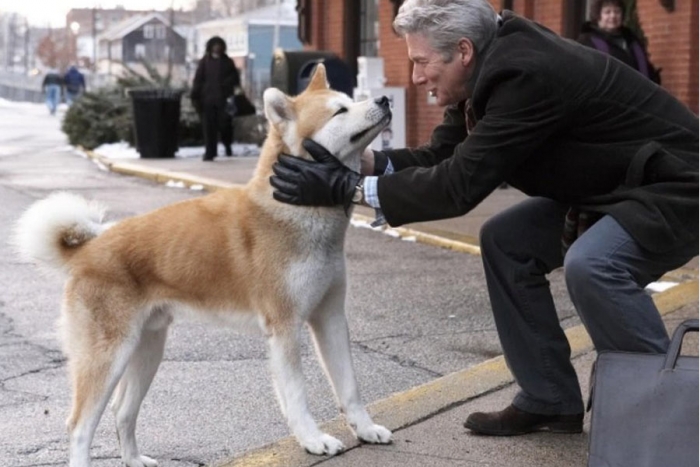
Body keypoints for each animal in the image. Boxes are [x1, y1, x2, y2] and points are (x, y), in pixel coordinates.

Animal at [13, 63, 394, 467]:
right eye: (340, 111)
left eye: (351, 100)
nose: (385, 99)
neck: (295, 210)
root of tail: (88, 250)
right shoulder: (286, 327)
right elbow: (297, 397)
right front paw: (313, 439)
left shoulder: (330, 317)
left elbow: (350, 387)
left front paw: (365, 429)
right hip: (108, 357)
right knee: (80, 426)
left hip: (147, 350)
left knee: (122, 412)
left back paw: (135, 459)